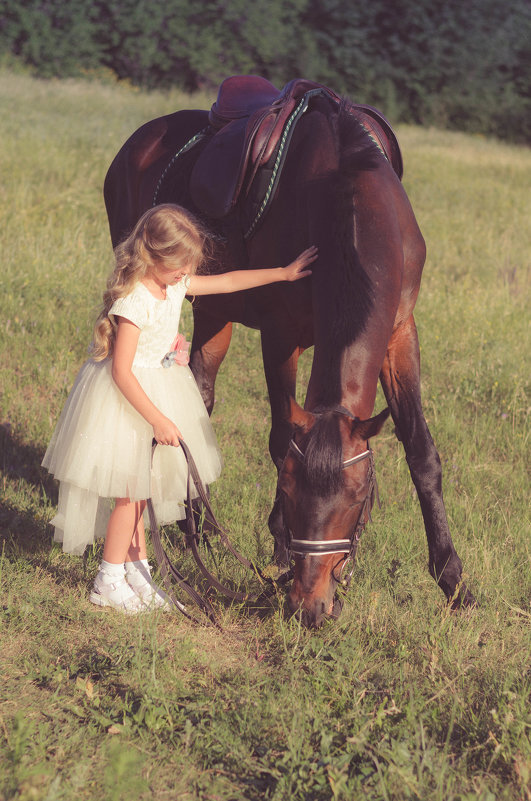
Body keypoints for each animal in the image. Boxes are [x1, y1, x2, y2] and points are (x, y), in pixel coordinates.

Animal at [103, 76, 474, 624]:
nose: (309, 606)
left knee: (198, 394)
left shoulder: (401, 332)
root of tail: (139, 138)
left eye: (357, 499)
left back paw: (200, 529)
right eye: (293, 492)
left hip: (215, 310)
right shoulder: (282, 335)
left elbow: (421, 450)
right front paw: (279, 550)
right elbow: (281, 438)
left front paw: (452, 579)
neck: (348, 196)